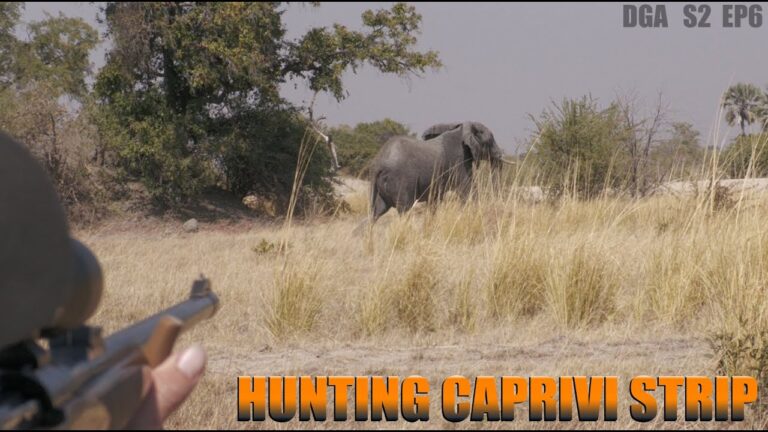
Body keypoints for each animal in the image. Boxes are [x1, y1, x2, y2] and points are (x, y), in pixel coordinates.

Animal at [366, 121, 504, 224]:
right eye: (491, 140)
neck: (462, 128)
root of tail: (378, 164)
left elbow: (435, 200)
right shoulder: (459, 162)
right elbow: (468, 190)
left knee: (377, 211)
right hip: (401, 180)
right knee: (404, 209)